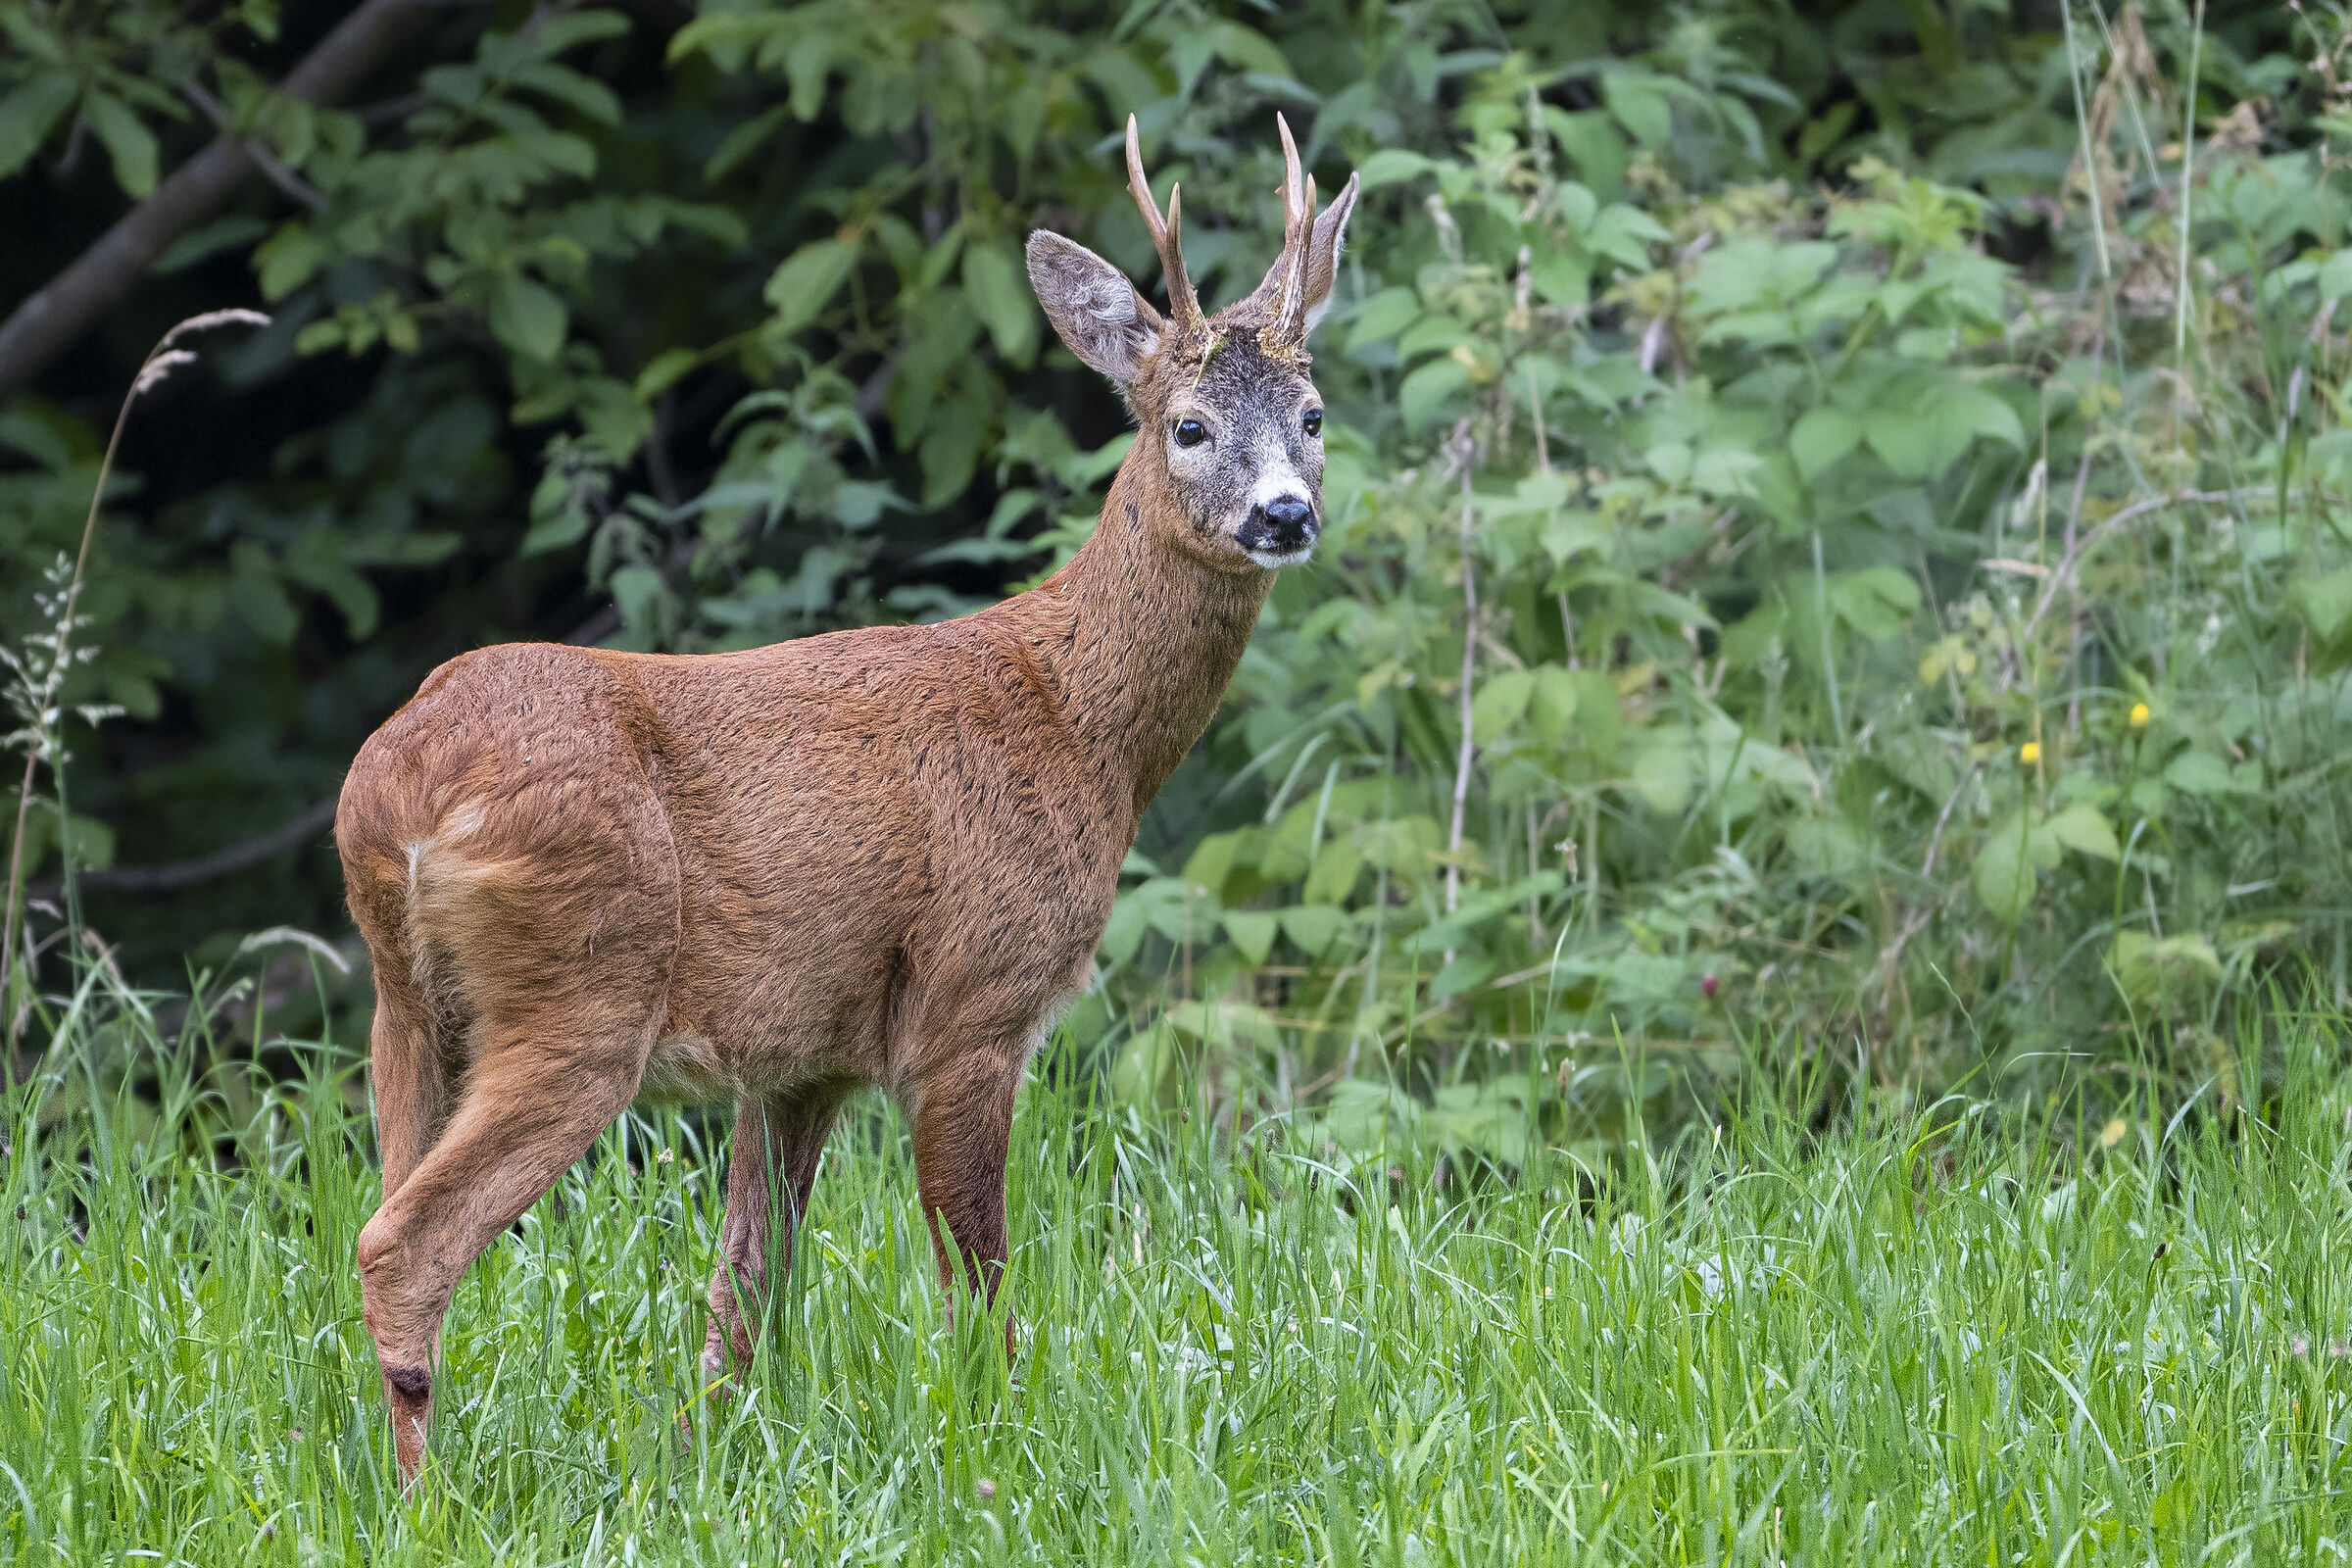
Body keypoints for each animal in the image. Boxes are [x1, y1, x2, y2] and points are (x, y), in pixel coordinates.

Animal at [334, 114, 1359, 1480]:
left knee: (387, 1204)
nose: (1284, 513)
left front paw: (698, 1462)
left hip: (406, 1006)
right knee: (404, 1243)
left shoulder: (800, 1053)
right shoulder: (976, 1000)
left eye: (1312, 414)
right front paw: (998, 1447)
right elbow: (979, 1282)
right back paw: (425, 1500)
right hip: (580, 987)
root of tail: (396, 785)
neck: (1078, 726)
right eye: (1188, 426)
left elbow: (743, 1294)